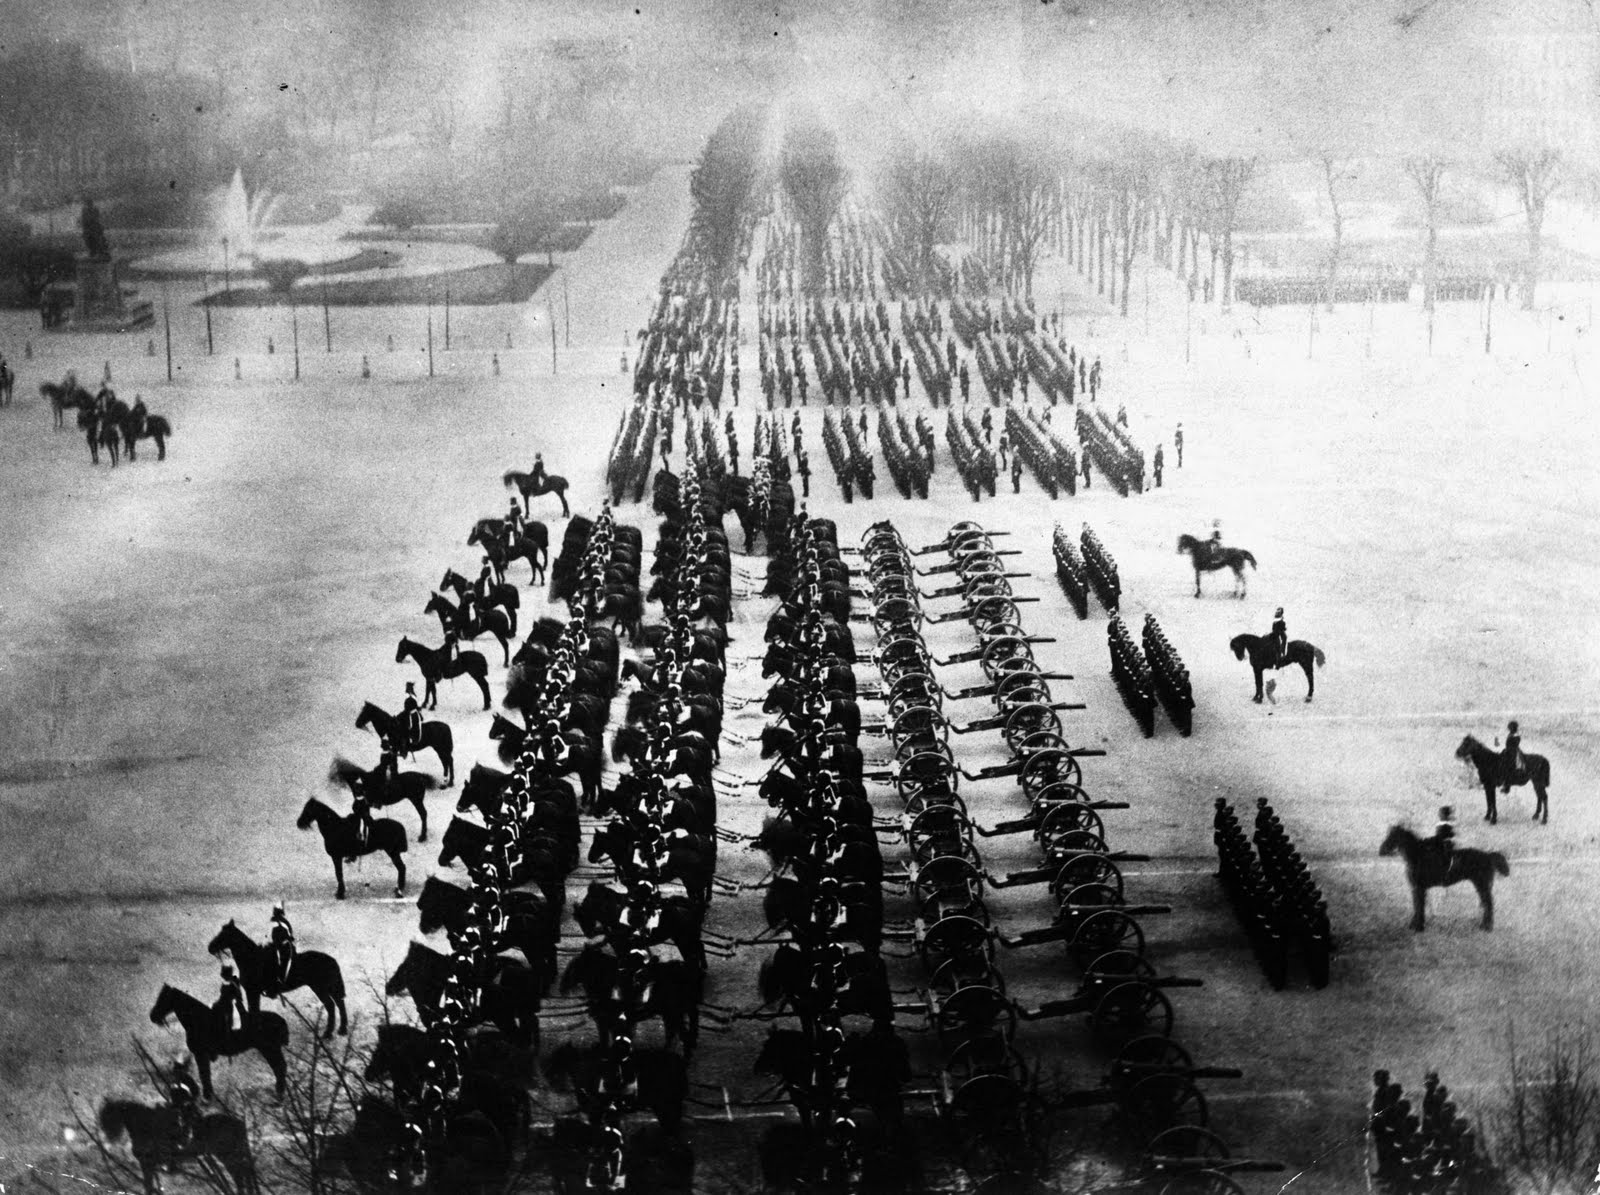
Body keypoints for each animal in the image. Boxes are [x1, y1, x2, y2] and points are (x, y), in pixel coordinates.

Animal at [98, 1100, 257, 1195]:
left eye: (108, 1115)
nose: (109, 1136)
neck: (147, 1127)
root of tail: (237, 1122)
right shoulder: (149, 1164)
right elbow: (150, 1185)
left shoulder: (147, 1163)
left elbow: (148, 1185)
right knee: (242, 1173)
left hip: (227, 1155)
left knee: (241, 1174)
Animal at [148, 985, 289, 1100]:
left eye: (163, 998)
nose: (152, 1016)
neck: (199, 1019)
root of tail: (280, 1019)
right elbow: (205, 1074)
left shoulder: (200, 1054)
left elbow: (204, 1074)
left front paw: (207, 1096)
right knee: (280, 1067)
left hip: (269, 1049)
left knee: (279, 1067)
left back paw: (280, 1094)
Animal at [206, 927, 347, 1036]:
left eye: (222, 935)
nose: (210, 947)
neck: (252, 959)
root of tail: (331, 960)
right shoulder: (253, 992)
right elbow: (254, 1010)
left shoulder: (252, 992)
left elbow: (254, 1010)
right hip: (327, 988)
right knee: (337, 1004)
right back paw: (339, 1030)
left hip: (320, 988)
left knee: (332, 1005)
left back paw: (330, 1033)